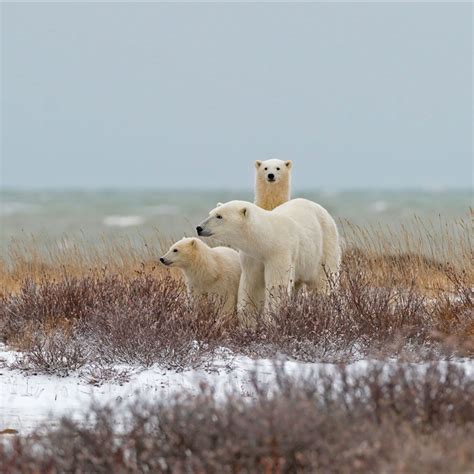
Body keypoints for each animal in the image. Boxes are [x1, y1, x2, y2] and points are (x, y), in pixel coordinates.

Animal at [196, 197, 340, 326]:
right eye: (211, 213)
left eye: (219, 216)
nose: (199, 228)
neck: (267, 239)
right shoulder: (252, 258)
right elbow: (252, 285)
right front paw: (248, 322)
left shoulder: (279, 253)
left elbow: (276, 287)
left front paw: (271, 320)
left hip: (324, 247)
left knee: (323, 283)